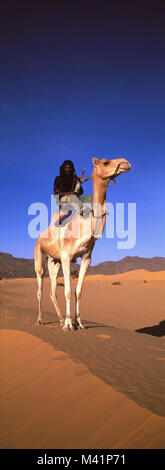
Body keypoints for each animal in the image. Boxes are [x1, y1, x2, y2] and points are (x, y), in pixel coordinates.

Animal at [34, 156, 131, 328]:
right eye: (105, 162)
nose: (125, 162)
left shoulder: (86, 257)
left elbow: (78, 292)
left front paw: (78, 322)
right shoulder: (66, 256)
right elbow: (67, 291)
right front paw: (68, 325)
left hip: (54, 261)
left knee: (53, 291)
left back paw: (59, 320)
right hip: (39, 254)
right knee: (40, 288)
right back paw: (41, 320)